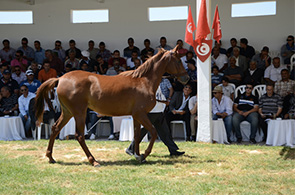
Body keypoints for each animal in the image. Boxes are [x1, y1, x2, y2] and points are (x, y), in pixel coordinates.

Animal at [35, 45, 190, 166]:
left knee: (55, 129)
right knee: (79, 136)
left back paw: (50, 157)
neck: (143, 81)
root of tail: (60, 78)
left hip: (67, 112)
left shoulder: (136, 115)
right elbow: (153, 131)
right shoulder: (141, 114)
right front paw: (144, 155)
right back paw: (93, 161)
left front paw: (137, 155)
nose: (186, 78)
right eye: (178, 60)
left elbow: (137, 134)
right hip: (79, 112)